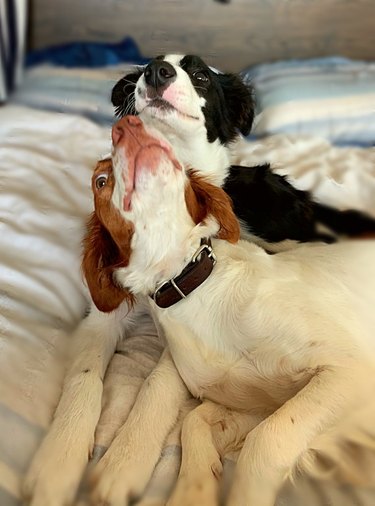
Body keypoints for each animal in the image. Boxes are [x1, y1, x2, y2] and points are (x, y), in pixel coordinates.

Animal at [24, 115, 375, 506]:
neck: (188, 285)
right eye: (100, 180)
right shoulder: (257, 402)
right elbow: (98, 382)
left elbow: (261, 439)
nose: (126, 124)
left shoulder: (349, 373)